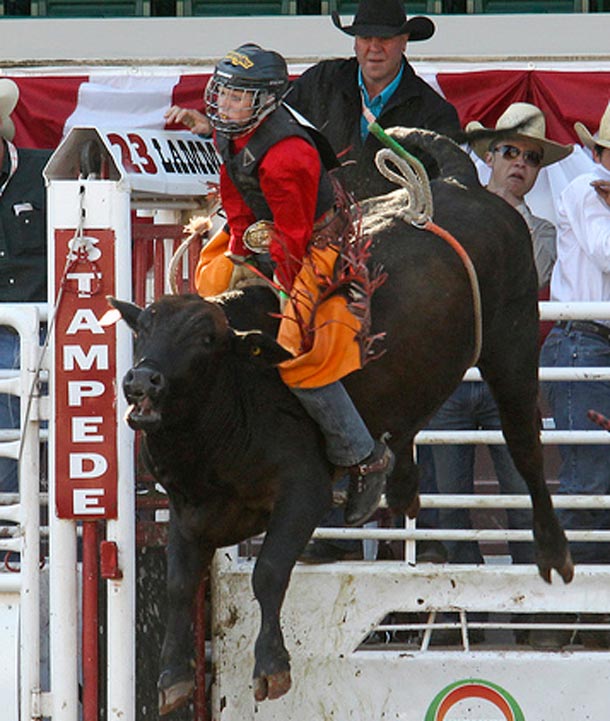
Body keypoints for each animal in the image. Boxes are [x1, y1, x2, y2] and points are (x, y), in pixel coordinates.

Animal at [108, 129, 568, 716]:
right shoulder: (190, 510)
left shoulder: (302, 492)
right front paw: (172, 679)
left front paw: (271, 668)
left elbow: (268, 572)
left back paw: (553, 551)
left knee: (525, 444)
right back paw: (393, 483)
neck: (235, 397)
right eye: (143, 328)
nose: (141, 381)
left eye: (206, 340)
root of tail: (458, 181)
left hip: (513, 339)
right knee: (408, 424)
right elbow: (177, 584)